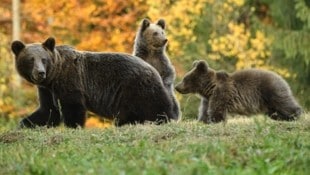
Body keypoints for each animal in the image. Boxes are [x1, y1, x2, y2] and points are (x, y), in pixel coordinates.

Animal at [11, 37, 179, 128]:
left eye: (44, 59)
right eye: (31, 59)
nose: (40, 73)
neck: (54, 77)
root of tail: (153, 69)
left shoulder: (70, 81)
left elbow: (73, 107)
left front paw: (74, 126)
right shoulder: (46, 89)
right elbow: (48, 111)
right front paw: (24, 124)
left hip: (136, 88)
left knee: (156, 108)